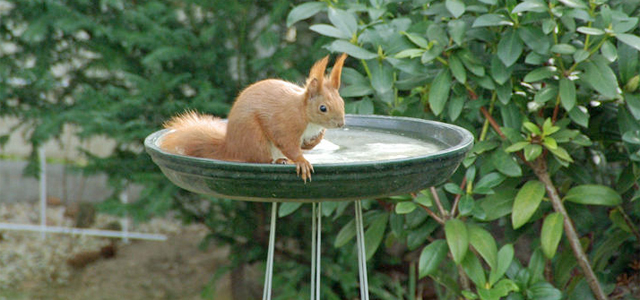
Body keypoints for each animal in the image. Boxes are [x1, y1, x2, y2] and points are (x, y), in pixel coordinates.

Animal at [160, 53, 350, 180]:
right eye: (323, 108)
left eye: (342, 102)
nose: (341, 124)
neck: (304, 114)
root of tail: (231, 147)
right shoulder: (285, 123)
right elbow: (288, 144)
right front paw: (302, 161)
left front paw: (312, 142)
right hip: (254, 137)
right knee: (260, 159)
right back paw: (278, 161)